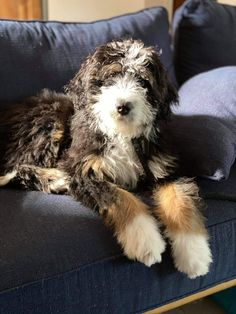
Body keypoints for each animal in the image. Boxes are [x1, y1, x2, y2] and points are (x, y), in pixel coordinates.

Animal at [0, 39, 213, 280]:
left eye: (142, 81)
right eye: (111, 77)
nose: (123, 106)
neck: (122, 134)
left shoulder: (164, 167)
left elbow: (181, 199)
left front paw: (194, 254)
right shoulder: (81, 169)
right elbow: (119, 196)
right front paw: (145, 240)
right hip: (49, 122)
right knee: (13, 169)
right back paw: (55, 179)